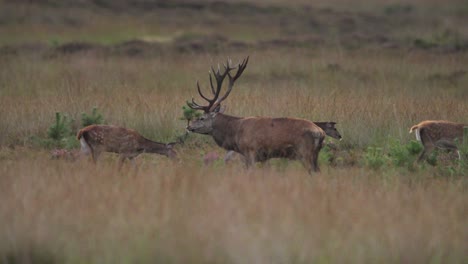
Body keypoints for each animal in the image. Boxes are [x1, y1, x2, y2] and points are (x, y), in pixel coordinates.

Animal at [185, 57, 328, 173]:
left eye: (202, 118)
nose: (189, 127)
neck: (235, 134)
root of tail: (321, 132)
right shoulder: (263, 158)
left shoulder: (250, 152)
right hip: (314, 155)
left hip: (305, 152)